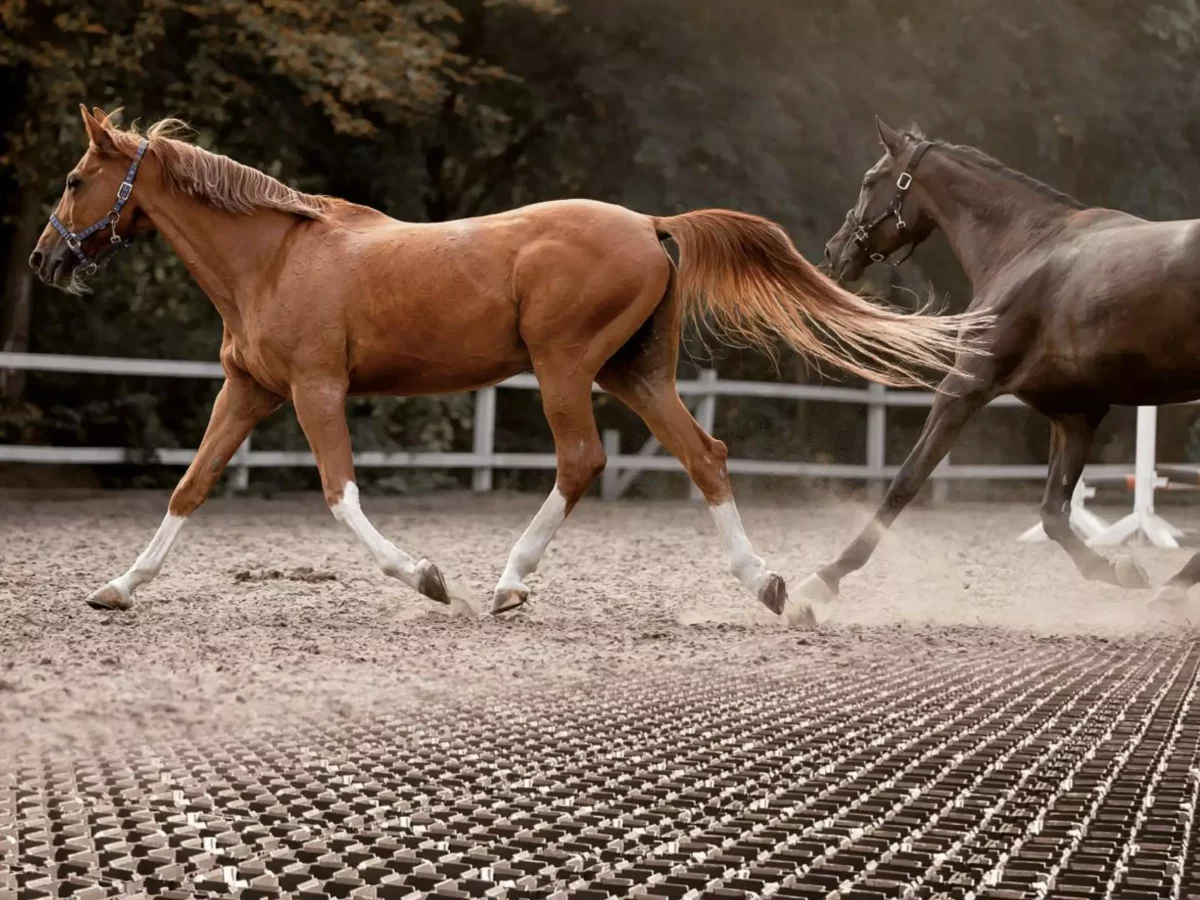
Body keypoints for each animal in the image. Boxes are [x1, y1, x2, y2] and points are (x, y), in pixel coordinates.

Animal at [31, 105, 983, 622]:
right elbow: (189, 486)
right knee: (703, 456)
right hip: (634, 374)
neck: (274, 257)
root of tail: (653, 224)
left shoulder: (314, 390)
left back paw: (507, 585)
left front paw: (427, 578)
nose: (45, 260)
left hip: (566, 368)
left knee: (582, 460)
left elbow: (340, 496)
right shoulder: (248, 390)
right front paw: (117, 587)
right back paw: (768, 586)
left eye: (76, 177)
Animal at [808, 116, 1200, 616]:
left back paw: (1172, 590)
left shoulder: (966, 387)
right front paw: (1121, 572)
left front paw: (823, 580)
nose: (834, 252)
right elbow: (1053, 514)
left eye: (869, 181)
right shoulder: (1075, 414)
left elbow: (905, 480)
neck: (1025, 247)